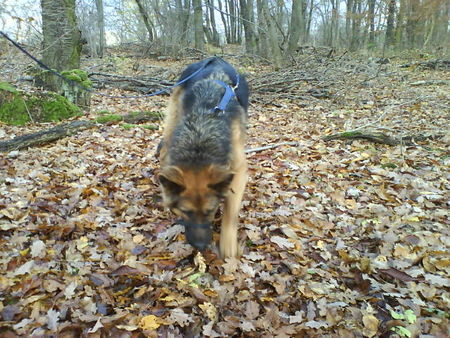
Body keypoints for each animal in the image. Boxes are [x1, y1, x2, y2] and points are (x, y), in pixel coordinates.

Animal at [158, 57, 250, 258]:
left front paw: (228, 243)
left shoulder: (239, 170)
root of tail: (215, 58)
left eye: (211, 211)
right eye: (186, 211)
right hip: (173, 118)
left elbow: (231, 212)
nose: (200, 246)